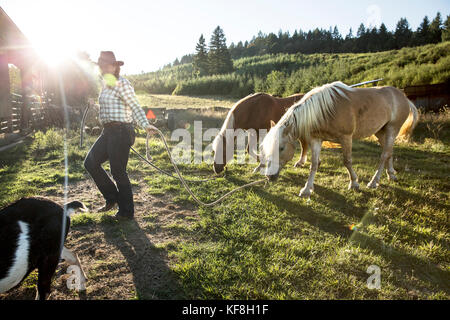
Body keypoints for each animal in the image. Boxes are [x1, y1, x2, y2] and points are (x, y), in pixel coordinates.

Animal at [258, 81, 420, 196]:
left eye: (281, 148)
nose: (269, 177)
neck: (325, 110)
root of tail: (403, 97)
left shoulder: (346, 138)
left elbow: (347, 161)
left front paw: (354, 183)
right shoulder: (316, 140)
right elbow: (314, 164)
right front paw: (307, 189)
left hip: (392, 129)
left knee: (384, 154)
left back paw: (374, 182)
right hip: (381, 132)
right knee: (389, 152)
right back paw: (391, 174)